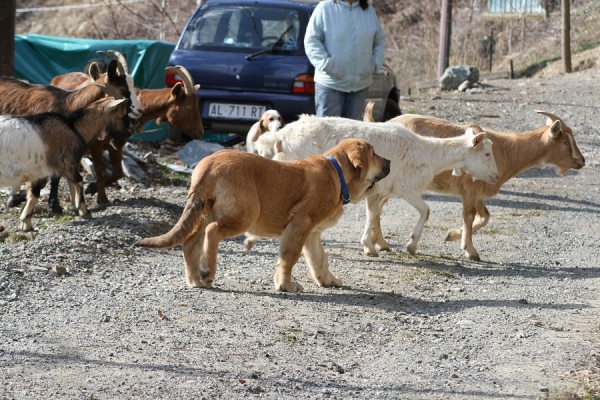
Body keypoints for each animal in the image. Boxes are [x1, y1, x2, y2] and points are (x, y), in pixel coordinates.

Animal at [0, 86, 130, 231]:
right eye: (123, 113)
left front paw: (26, 223)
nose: (128, 132)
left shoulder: (38, 171)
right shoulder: (65, 162)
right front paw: (85, 212)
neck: (74, 128)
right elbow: (78, 180)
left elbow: (34, 193)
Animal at [135, 139, 390, 292]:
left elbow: (319, 259)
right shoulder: (300, 225)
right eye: (374, 153)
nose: (389, 161)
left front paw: (328, 280)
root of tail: (209, 164)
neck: (336, 173)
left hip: (204, 211)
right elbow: (289, 257)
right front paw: (285, 285)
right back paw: (207, 271)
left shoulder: (311, 233)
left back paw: (197, 280)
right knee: (212, 232)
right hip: (244, 214)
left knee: (190, 243)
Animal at [253, 116, 496, 256]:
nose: (495, 176)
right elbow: (426, 211)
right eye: (486, 153)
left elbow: (373, 214)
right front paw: (410, 245)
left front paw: (371, 245)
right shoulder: (406, 188)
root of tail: (281, 135)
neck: (428, 153)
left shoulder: (377, 190)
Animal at [364, 109, 584, 260]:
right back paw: (379, 242)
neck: (507, 150)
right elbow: (469, 216)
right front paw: (470, 250)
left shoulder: (478, 192)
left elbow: (484, 216)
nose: (581, 161)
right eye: (566, 142)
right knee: (378, 205)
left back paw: (378, 242)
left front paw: (452, 235)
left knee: (377, 205)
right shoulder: (470, 189)